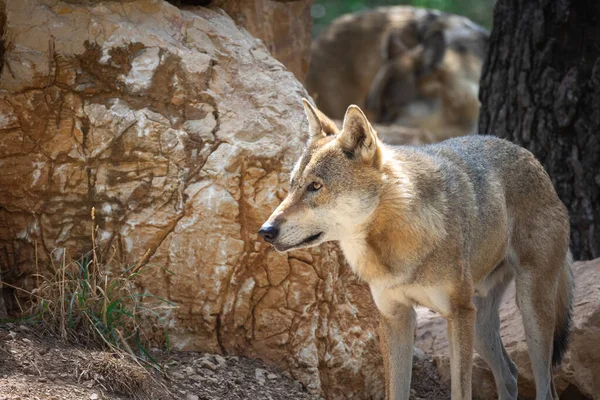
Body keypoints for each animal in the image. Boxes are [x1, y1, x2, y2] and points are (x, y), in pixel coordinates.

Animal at [260, 98, 576, 398]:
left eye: (315, 186)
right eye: (292, 185)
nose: (265, 231)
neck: (394, 242)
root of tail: (533, 160)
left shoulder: (458, 314)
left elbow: (461, 392)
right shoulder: (395, 317)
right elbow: (395, 392)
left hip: (529, 312)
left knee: (546, 389)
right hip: (482, 325)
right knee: (510, 375)